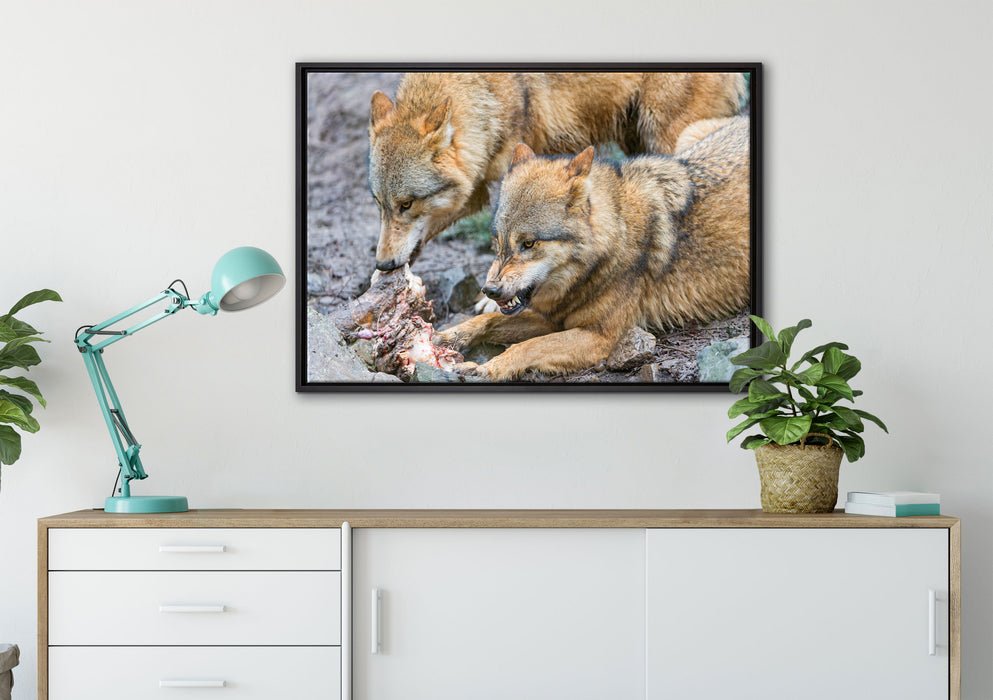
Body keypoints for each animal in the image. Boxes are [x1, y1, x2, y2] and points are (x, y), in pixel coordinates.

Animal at [368, 72, 746, 272]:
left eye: (406, 204)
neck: (487, 97)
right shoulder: (475, 188)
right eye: (380, 205)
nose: (382, 265)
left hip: (669, 137)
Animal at [432, 116, 751, 382]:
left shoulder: (600, 337)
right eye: (498, 242)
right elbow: (488, 320)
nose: (490, 290)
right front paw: (448, 336)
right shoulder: (553, 318)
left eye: (529, 243)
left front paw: (487, 368)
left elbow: (527, 347)